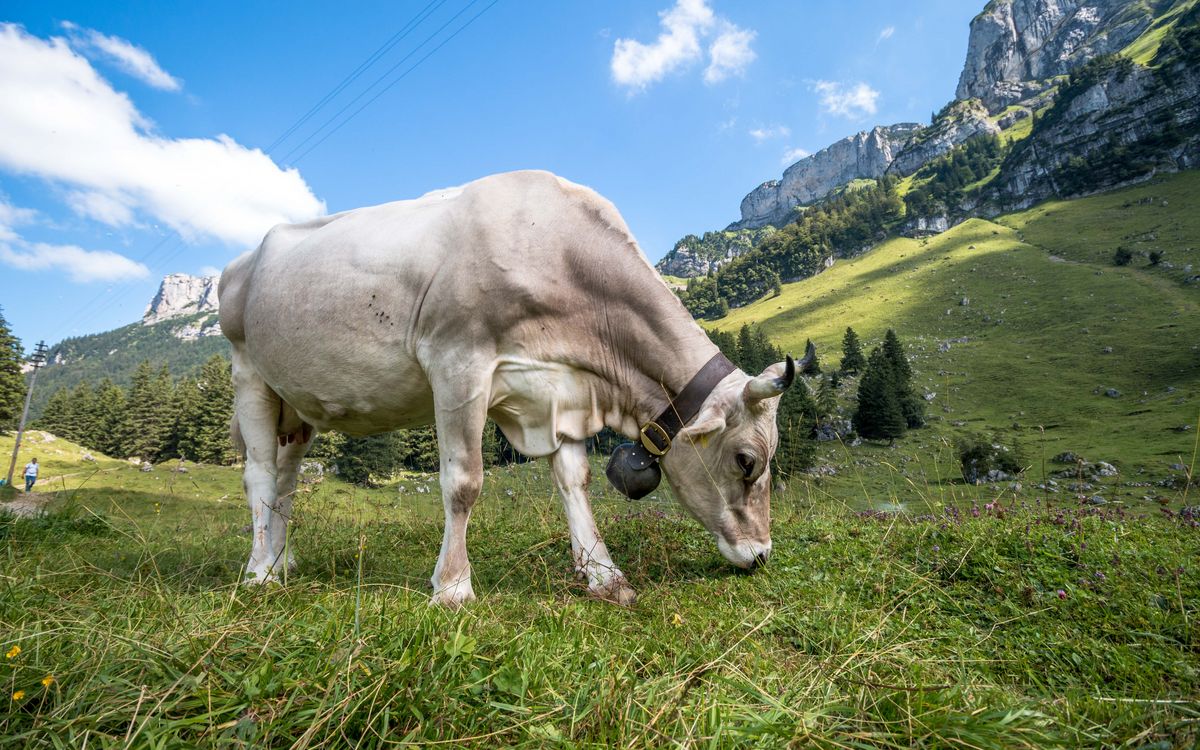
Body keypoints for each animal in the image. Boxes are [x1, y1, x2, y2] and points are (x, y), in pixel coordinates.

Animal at [220, 171, 801, 609]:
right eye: (747, 461)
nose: (762, 555)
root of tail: (242, 260)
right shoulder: (458, 363)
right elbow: (464, 483)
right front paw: (453, 587)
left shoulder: (557, 392)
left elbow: (574, 480)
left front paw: (602, 574)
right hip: (248, 371)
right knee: (259, 476)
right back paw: (259, 572)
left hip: (296, 403)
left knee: (286, 480)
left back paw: (283, 559)